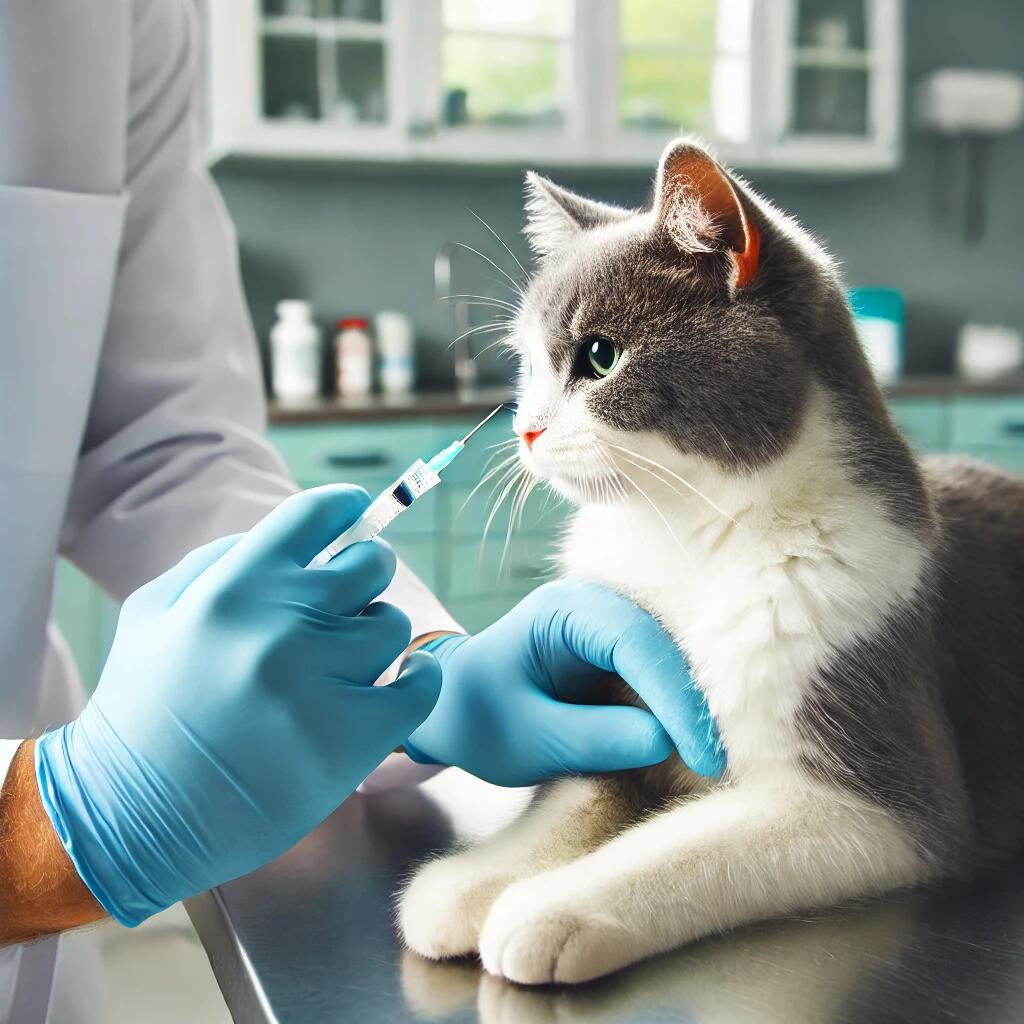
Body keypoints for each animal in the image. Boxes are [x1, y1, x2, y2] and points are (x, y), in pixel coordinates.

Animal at [395, 140, 1024, 987]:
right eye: (525, 366)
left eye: (600, 357)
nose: (523, 428)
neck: (688, 537)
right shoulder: (611, 685)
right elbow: (577, 792)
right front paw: (473, 877)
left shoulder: (882, 792)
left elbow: (687, 844)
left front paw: (549, 908)